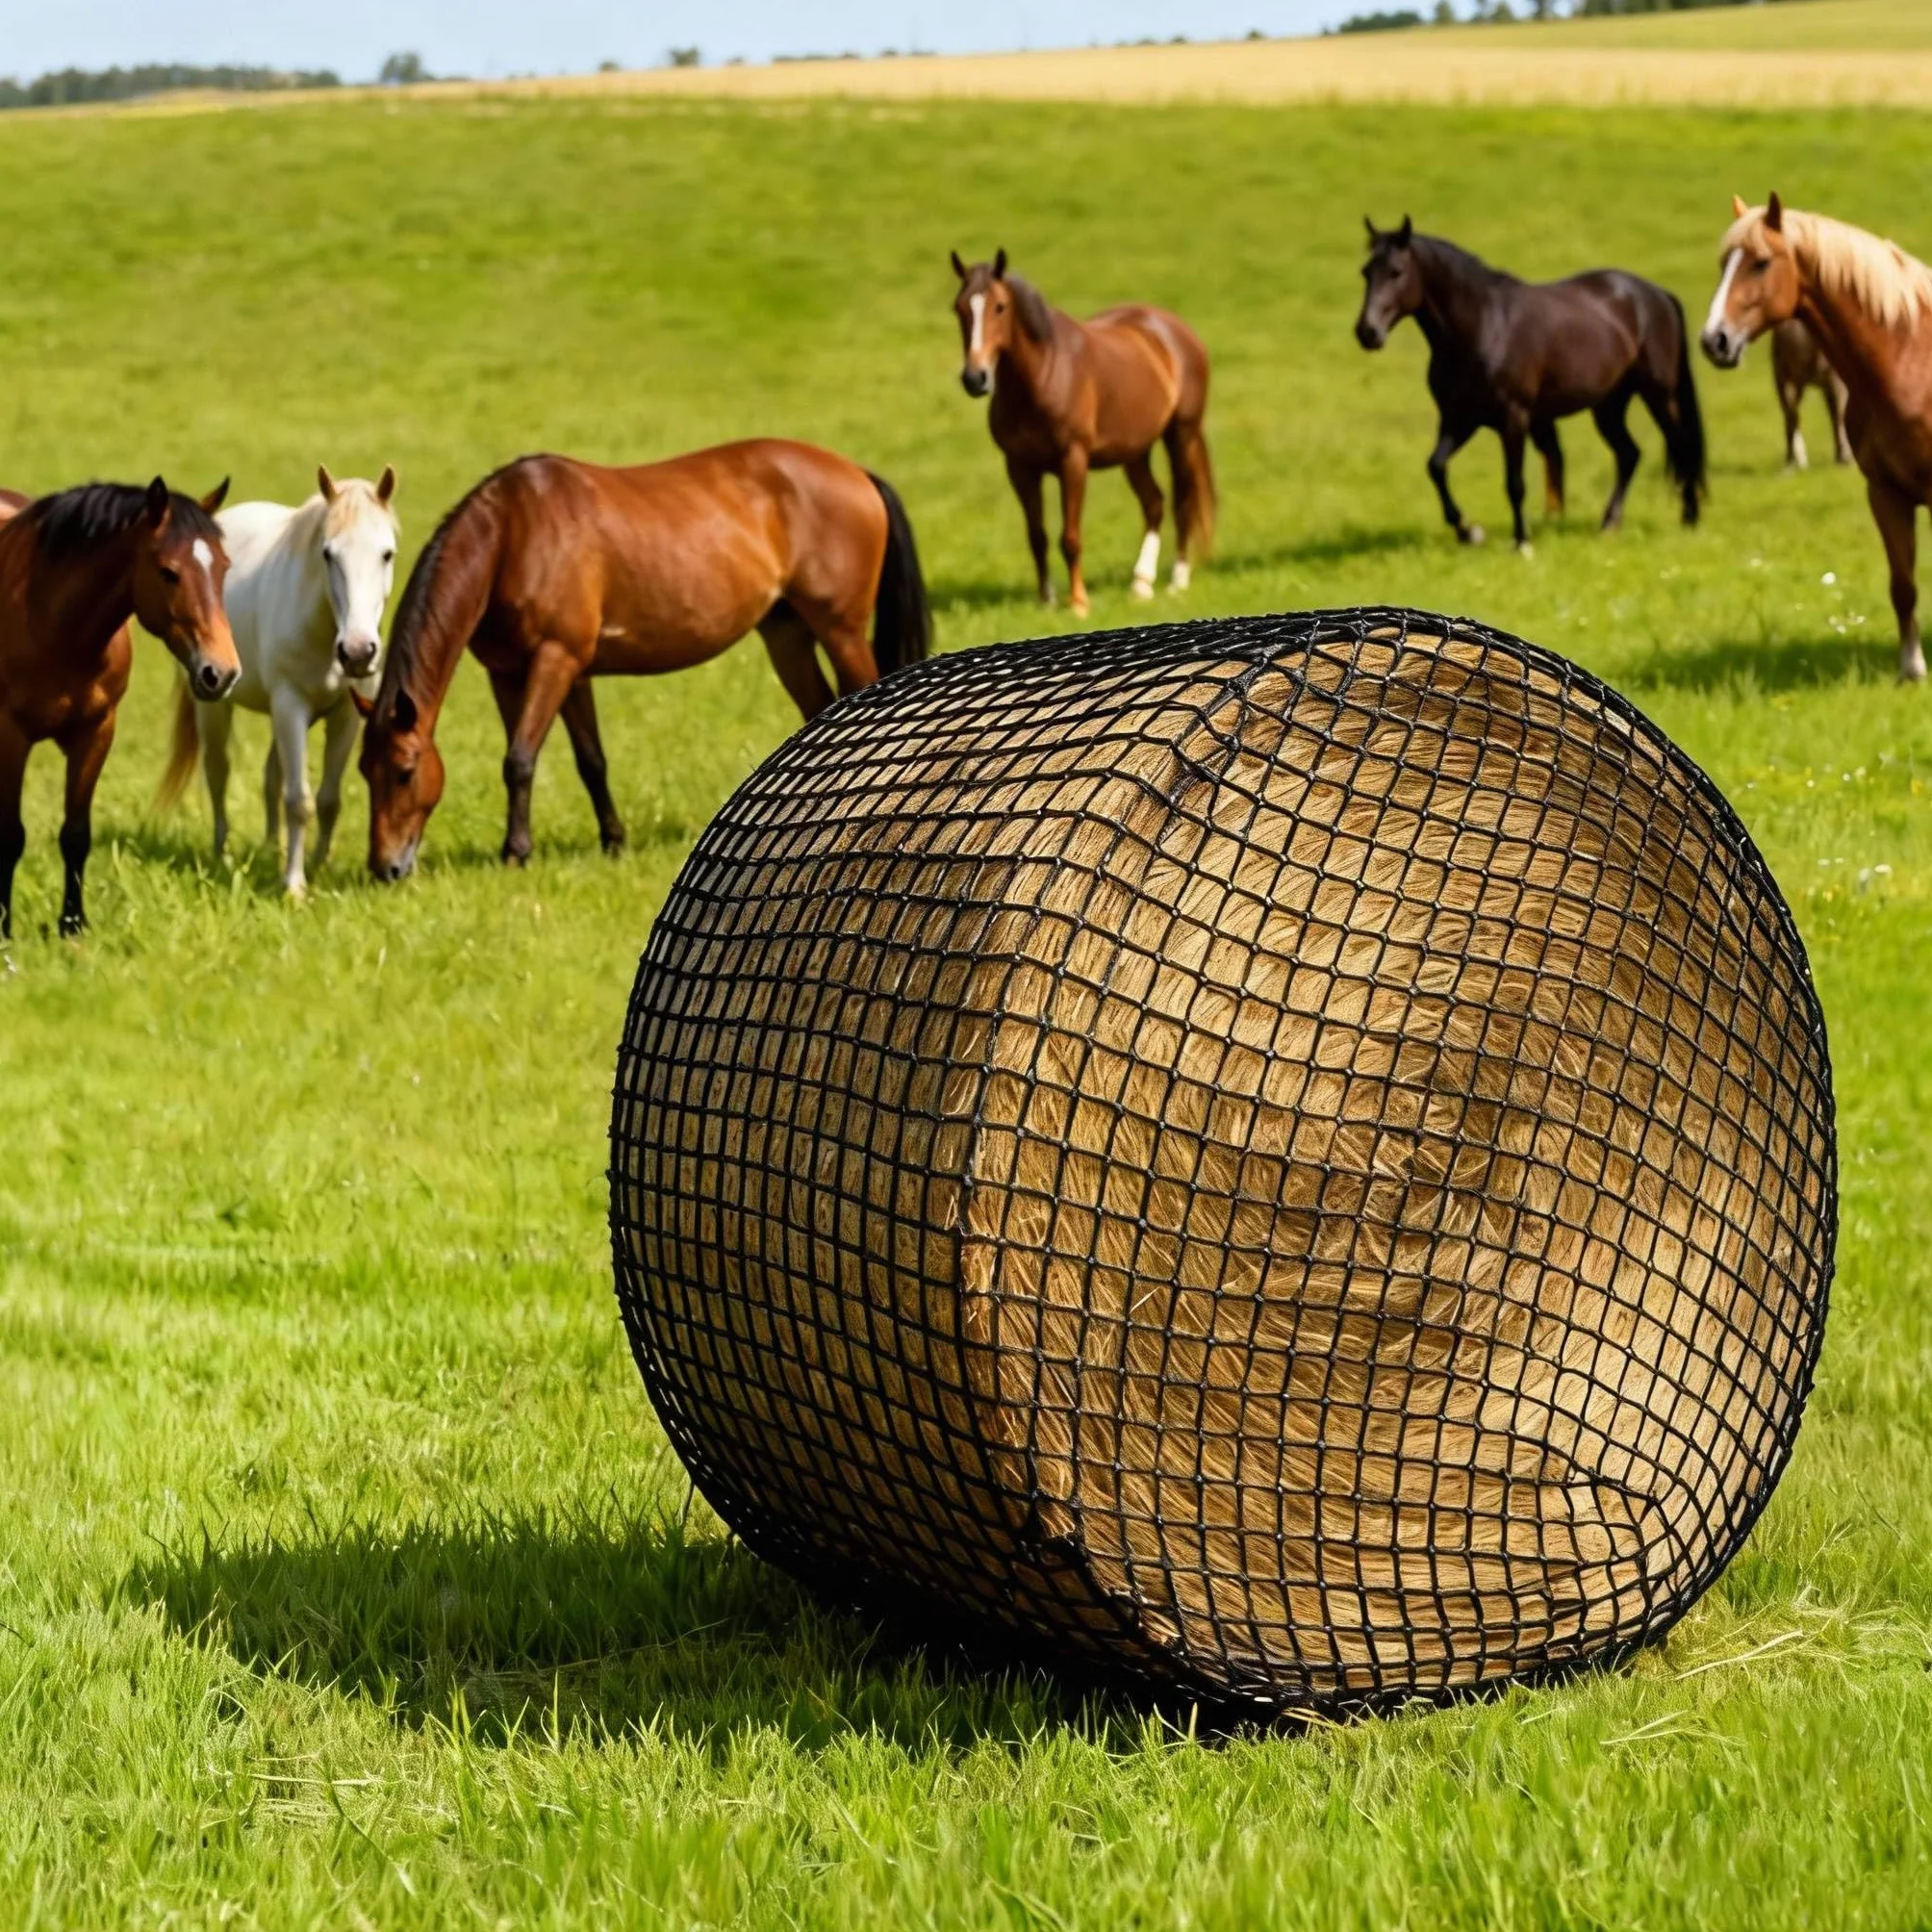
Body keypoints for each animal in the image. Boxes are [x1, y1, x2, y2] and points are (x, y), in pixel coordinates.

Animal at [0, 479, 237, 939]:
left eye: (224, 567)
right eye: (168, 571)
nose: (221, 672)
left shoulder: (97, 732)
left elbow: (76, 834)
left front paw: (72, 927)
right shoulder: (11, 735)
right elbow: (9, 835)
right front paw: (2, 928)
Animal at [158, 465, 400, 897]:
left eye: (386, 554)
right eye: (328, 554)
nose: (357, 652)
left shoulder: (346, 716)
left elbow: (327, 799)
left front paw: (319, 866)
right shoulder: (290, 705)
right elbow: (298, 801)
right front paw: (294, 886)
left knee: (271, 776)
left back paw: (273, 849)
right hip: (215, 705)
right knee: (218, 772)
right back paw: (222, 852)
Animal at [359, 439, 930, 880]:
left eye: (405, 772)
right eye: (364, 771)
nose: (385, 868)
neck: (513, 535)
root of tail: (857, 472)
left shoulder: (555, 660)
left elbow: (519, 760)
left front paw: (515, 853)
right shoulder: (528, 673)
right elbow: (590, 762)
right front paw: (613, 841)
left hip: (842, 631)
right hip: (787, 637)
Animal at [949, 249, 1215, 617]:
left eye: (1000, 306)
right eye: (959, 308)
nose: (975, 378)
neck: (1042, 377)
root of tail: (1177, 332)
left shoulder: (1072, 462)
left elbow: (1070, 537)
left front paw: (1078, 602)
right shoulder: (1019, 468)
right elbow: (1037, 536)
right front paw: (1045, 600)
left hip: (1181, 436)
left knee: (1181, 502)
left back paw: (1177, 581)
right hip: (1135, 451)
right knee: (1154, 503)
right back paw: (1141, 584)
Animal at [1356, 217, 1706, 552]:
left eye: (1396, 272)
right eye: (1366, 272)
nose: (1367, 332)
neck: (1483, 327)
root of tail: (1657, 294)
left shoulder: (1514, 418)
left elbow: (1515, 482)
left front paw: (1521, 541)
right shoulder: (1458, 420)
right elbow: (1436, 467)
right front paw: (1469, 532)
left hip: (1659, 395)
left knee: (1681, 444)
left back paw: (1689, 519)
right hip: (1608, 406)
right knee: (1629, 454)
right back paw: (1609, 524)